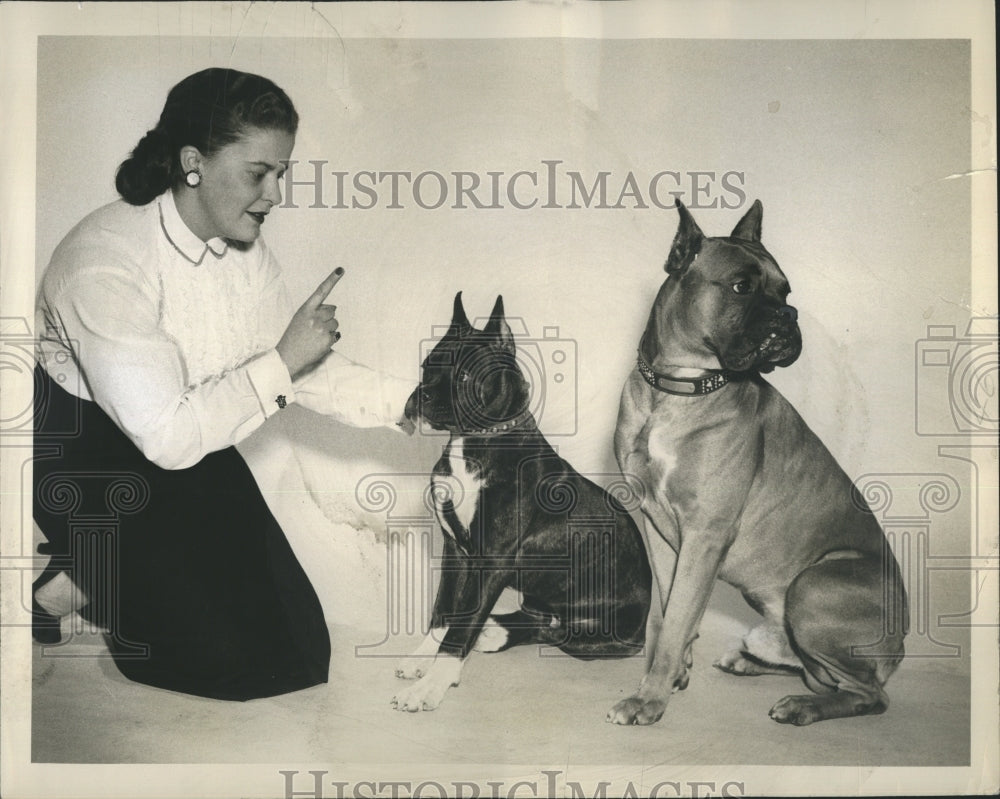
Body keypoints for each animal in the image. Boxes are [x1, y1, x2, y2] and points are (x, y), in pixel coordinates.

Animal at [394, 294, 652, 712]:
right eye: (427, 366)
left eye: (463, 377)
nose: (423, 394)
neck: (476, 442)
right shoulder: (456, 552)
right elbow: (444, 609)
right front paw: (421, 658)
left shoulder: (492, 561)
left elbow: (461, 624)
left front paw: (431, 684)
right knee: (541, 622)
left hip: (602, 637)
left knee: (555, 634)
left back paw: (492, 633)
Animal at [604, 200, 912, 724]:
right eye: (741, 287)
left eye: (785, 291)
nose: (788, 314)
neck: (679, 389)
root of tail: (902, 643)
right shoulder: (661, 531)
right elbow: (667, 612)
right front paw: (673, 673)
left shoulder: (704, 535)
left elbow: (677, 616)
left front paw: (649, 697)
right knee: (815, 670)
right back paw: (752, 662)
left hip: (813, 585)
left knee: (869, 694)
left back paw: (802, 706)